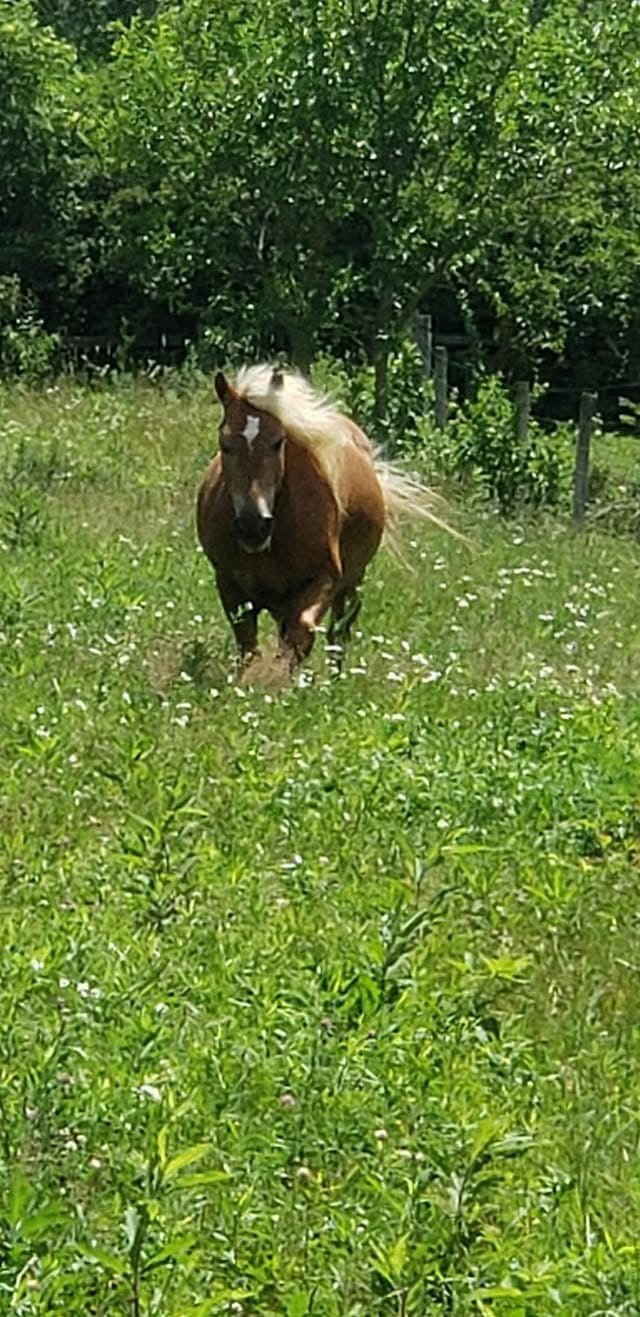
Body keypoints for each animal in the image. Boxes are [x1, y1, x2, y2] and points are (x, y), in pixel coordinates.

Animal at [196, 364, 453, 674]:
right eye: (225, 444)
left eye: (277, 442)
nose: (253, 526)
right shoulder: (229, 586)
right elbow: (248, 645)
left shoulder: (324, 580)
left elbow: (303, 633)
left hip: (351, 583)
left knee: (338, 632)